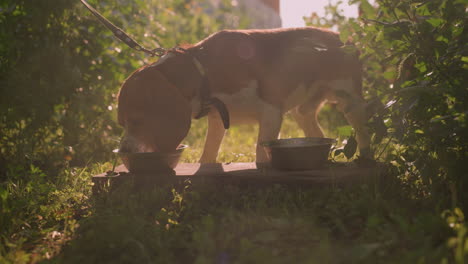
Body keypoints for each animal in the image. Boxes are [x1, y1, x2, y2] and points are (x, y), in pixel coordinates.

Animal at [119, 26, 372, 163]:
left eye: (136, 121)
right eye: (123, 123)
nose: (124, 150)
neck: (203, 68)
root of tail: (342, 37)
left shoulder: (271, 113)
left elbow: (261, 153)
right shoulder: (217, 121)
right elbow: (208, 155)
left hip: (351, 101)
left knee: (362, 132)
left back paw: (367, 158)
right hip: (302, 112)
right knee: (315, 131)